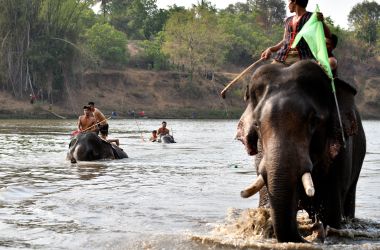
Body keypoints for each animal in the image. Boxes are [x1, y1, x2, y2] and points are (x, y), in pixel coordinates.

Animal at [236, 60, 366, 242]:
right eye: (257, 124)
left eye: (314, 121)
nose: (316, 230)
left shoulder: (341, 152)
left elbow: (331, 210)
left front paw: (325, 227)